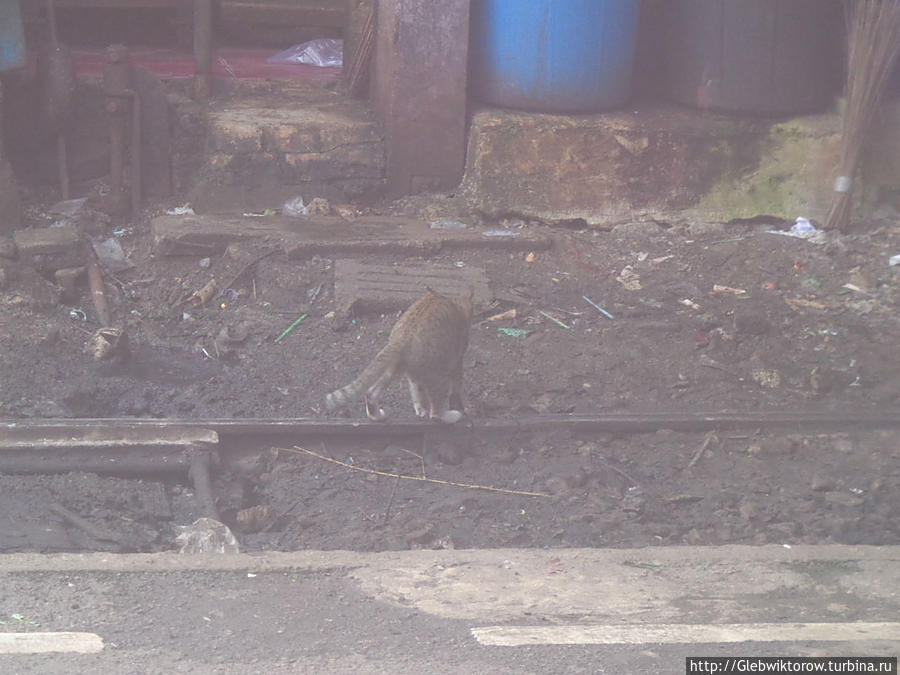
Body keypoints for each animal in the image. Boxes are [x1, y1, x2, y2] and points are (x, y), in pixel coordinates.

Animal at [326, 288, 478, 426]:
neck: (456, 304)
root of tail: (402, 337)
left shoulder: (417, 374)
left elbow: (417, 391)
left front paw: (420, 409)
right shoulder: (456, 360)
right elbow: (456, 386)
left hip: (395, 367)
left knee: (371, 393)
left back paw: (377, 416)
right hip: (438, 374)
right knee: (436, 413)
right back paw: (452, 416)